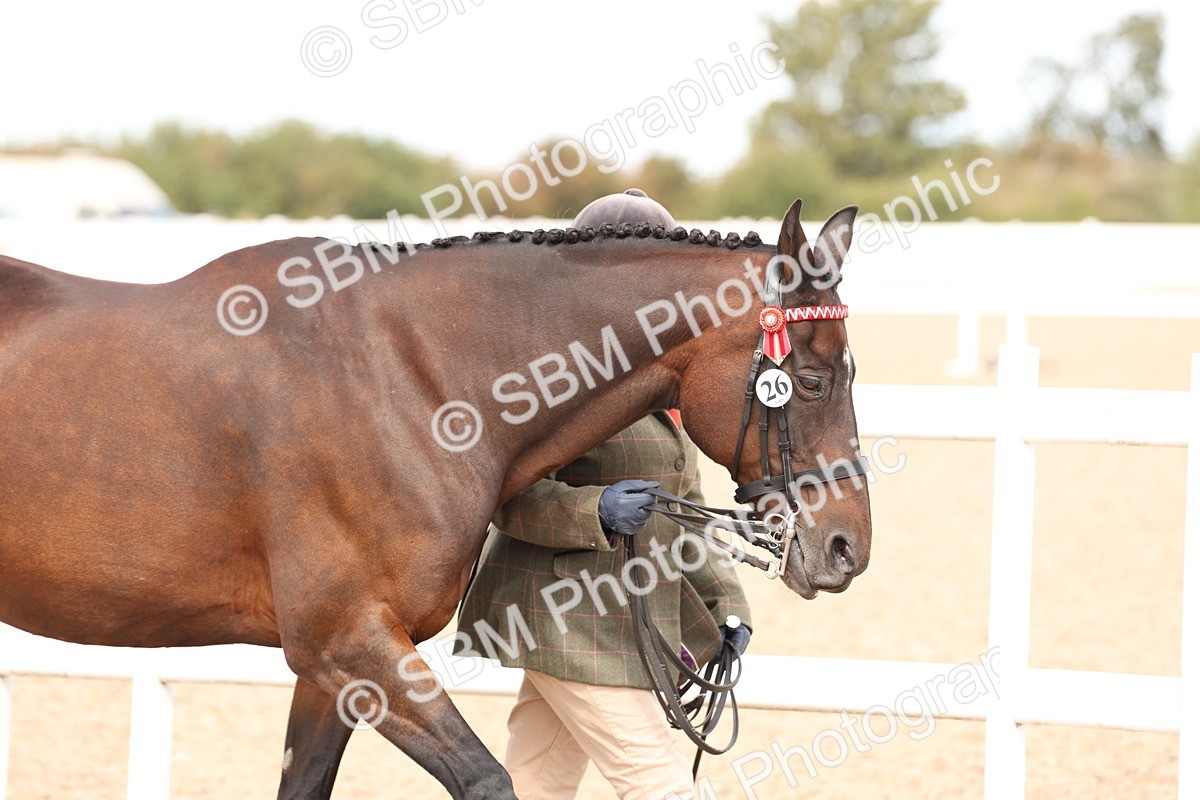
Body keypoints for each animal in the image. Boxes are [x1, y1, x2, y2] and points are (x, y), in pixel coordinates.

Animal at [0, 199, 871, 799]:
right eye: (813, 379)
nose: (847, 547)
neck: (407, 376)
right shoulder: (350, 645)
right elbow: (485, 779)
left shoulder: (335, 670)